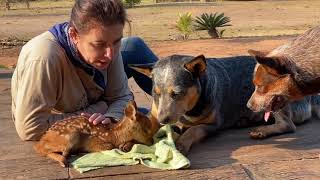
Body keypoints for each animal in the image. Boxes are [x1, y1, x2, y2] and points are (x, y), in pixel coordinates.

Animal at [129, 54, 320, 155]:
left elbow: (194, 130)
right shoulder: (155, 113)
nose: (163, 120)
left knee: (288, 125)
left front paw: (181, 143)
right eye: (155, 93)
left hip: (270, 97)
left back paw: (262, 130)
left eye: (176, 93)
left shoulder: (213, 124)